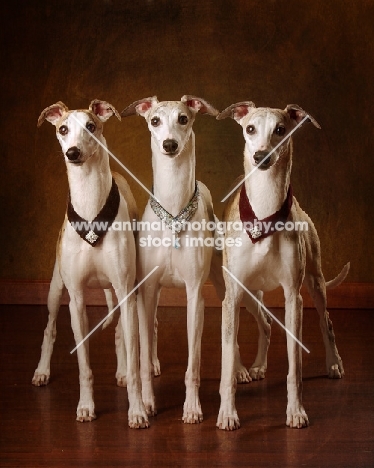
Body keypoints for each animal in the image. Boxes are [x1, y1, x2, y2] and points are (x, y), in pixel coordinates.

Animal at [120, 96, 219, 424]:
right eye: (154, 120)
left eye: (183, 118)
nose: (170, 144)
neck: (174, 213)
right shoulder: (148, 288)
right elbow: (142, 348)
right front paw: (148, 402)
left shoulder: (195, 294)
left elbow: (193, 363)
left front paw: (192, 407)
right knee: (150, 327)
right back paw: (151, 364)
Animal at [215, 100, 350, 430]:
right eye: (250, 128)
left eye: (280, 129)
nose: (261, 156)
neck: (264, 212)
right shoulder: (232, 295)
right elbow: (228, 359)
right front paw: (227, 413)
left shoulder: (293, 296)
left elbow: (295, 365)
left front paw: (296, 411)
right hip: (250, 294)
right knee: (264, 324)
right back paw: (257, 366)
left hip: (315, 282)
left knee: (326, 321)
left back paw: (334, 363)